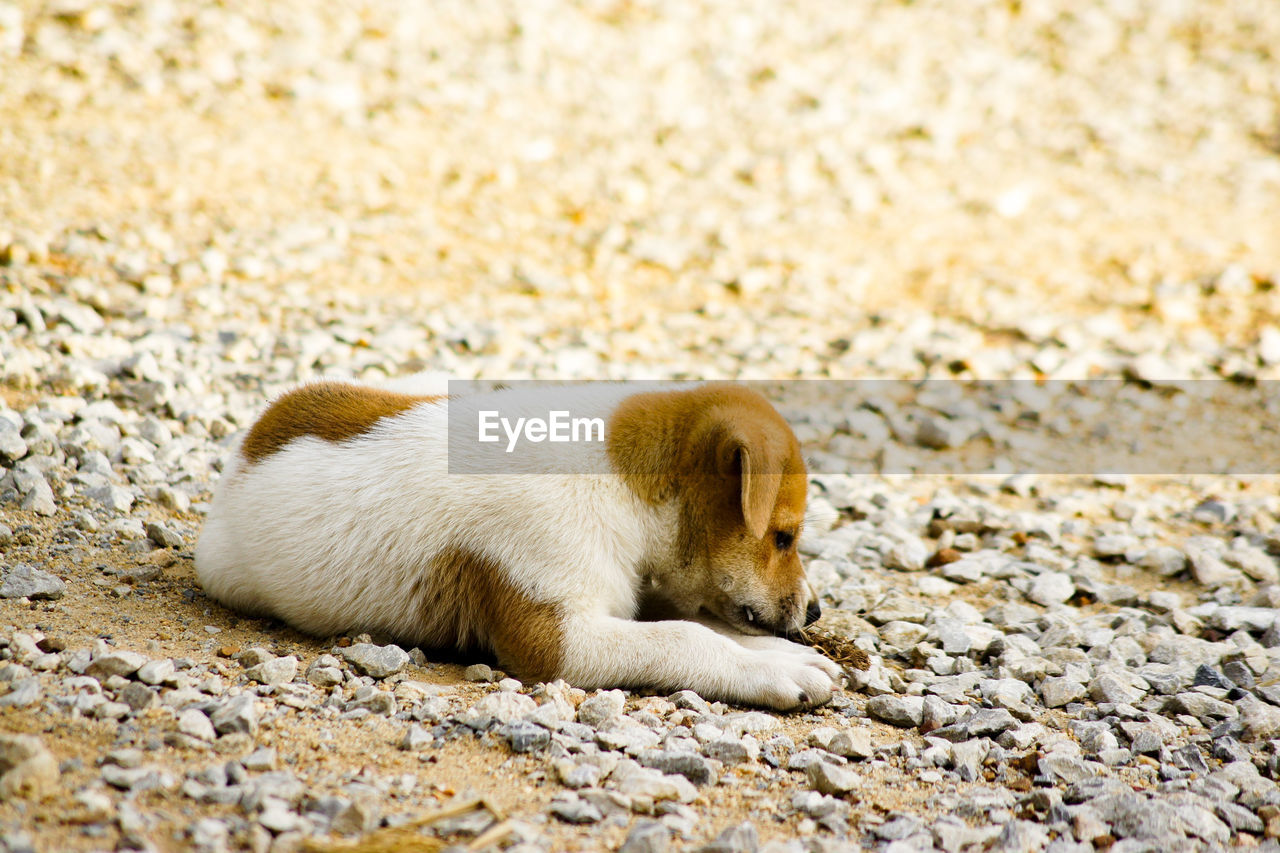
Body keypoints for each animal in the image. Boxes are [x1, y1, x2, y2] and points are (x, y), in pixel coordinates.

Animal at [194, 381, 839, 706]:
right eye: (784, 537)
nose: (815, 612)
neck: (623, 487)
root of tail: (243, 453)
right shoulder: (557, 640)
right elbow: (683, 636)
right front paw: (772, 669)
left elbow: (702, 624)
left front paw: (781, 654)